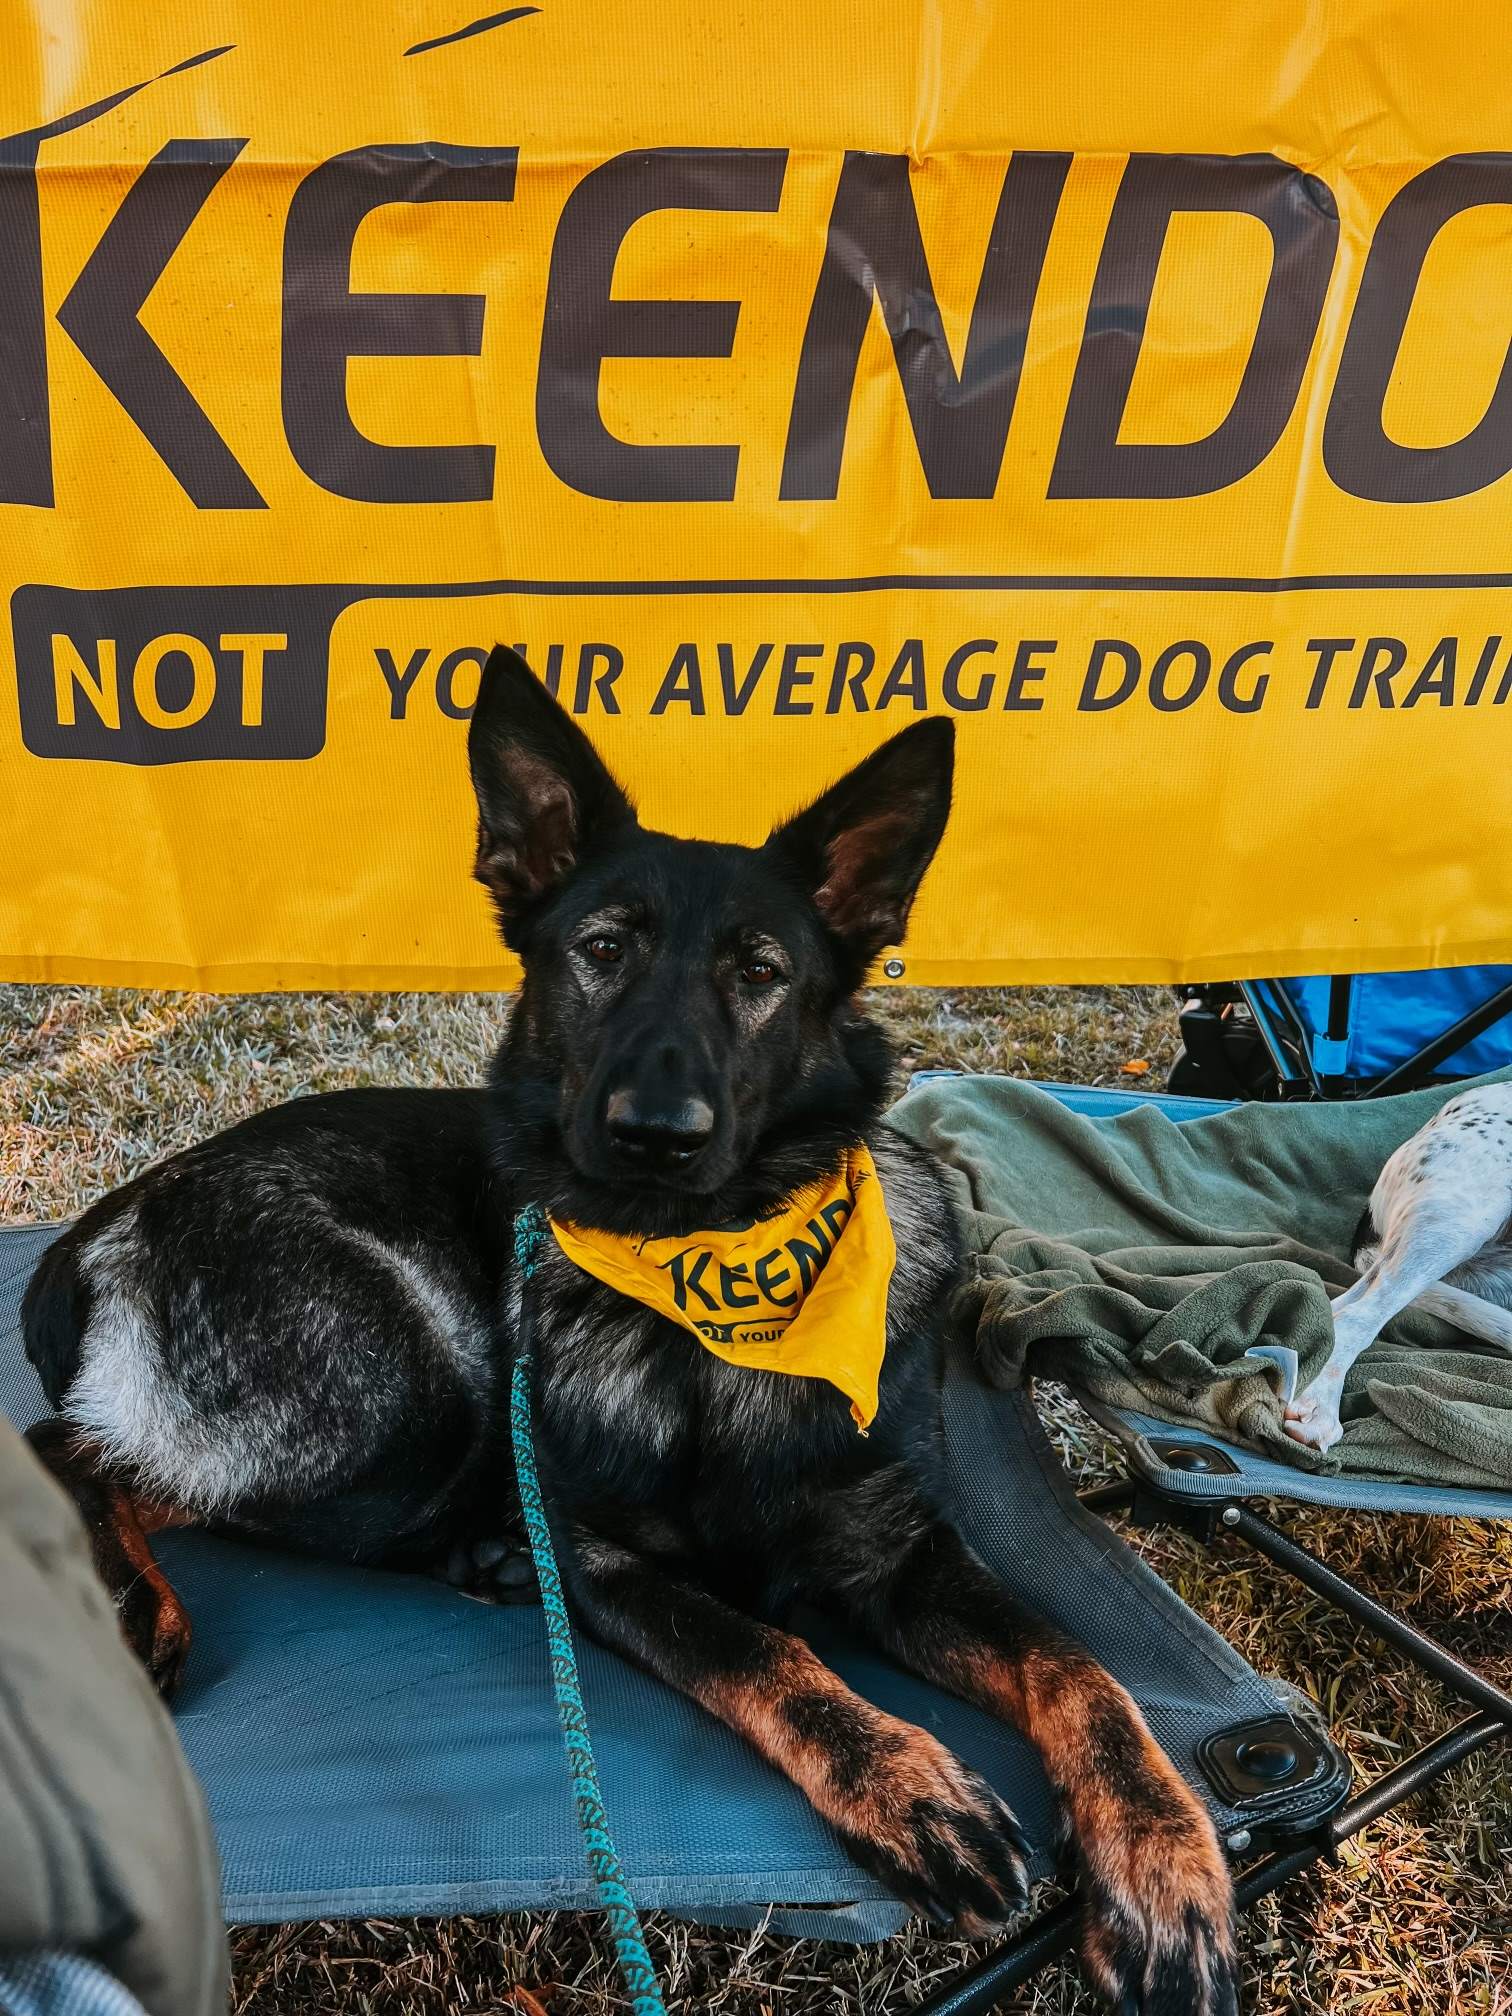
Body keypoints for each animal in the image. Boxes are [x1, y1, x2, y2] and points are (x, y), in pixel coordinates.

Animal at [26, 649, 1241, 2016]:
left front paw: (1164, 1858)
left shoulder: (906, 1554)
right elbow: (767, 1653)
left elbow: (1081, 1670)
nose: (656, 1134)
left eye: (761, 973)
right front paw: (908, 1782)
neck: (710, 1298)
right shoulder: (610, 1564)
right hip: (409, 1389)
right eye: (601, 951)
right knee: (81, 1450)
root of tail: (109, 1215)